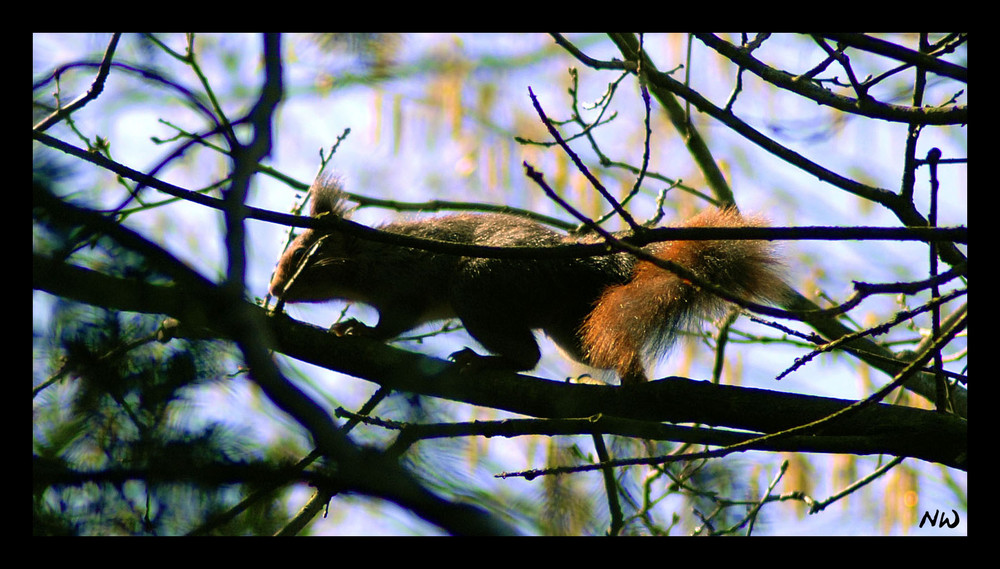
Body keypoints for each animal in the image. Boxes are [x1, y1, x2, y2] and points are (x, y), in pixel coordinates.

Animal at [270, 175, 784, 384]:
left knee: (527, 356)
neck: (373, 256)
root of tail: (586, 264)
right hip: (575, 326)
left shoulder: (406, 285)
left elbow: (394, 323)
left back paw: (483, 361)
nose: (274, 289)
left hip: (479, 288)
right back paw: (632, 379)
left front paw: (360, 331)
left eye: (303, 258)